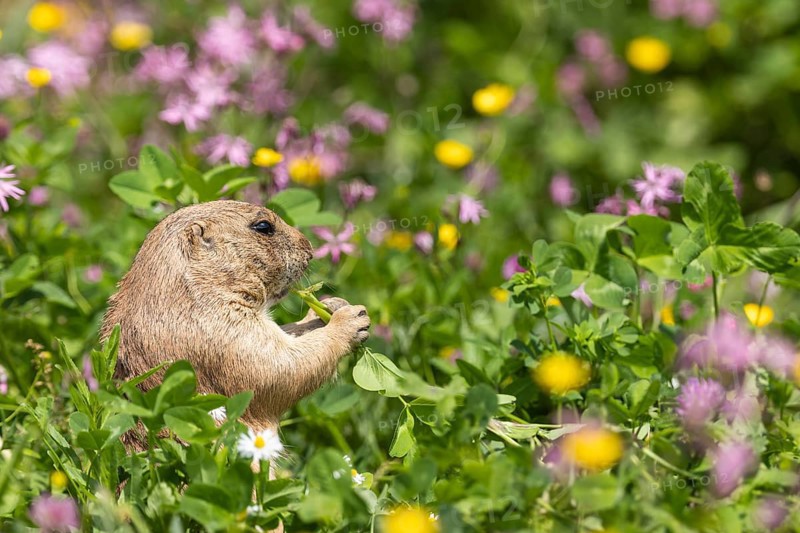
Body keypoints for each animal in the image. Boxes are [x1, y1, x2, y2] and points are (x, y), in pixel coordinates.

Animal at [100, 200, 370, 441]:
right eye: (263, 226)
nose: (310, 248)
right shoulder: (218, 328)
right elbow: (276, 365)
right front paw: (352, 318)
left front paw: (331, 306)